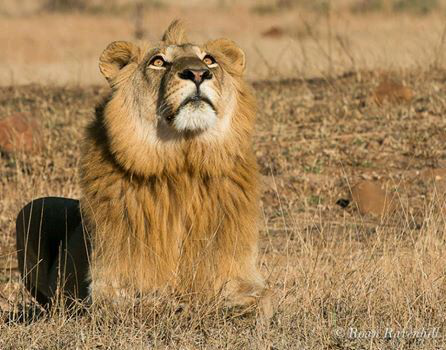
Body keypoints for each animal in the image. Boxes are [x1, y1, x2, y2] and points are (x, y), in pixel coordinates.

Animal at [78, 20, 270, 318]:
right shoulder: (108, 281)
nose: (198, 73)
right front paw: (169, 302)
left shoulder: (241, 273)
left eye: (209, 60)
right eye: (158, 62)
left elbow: (259, 299)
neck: (181, 162)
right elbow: (135, 300)